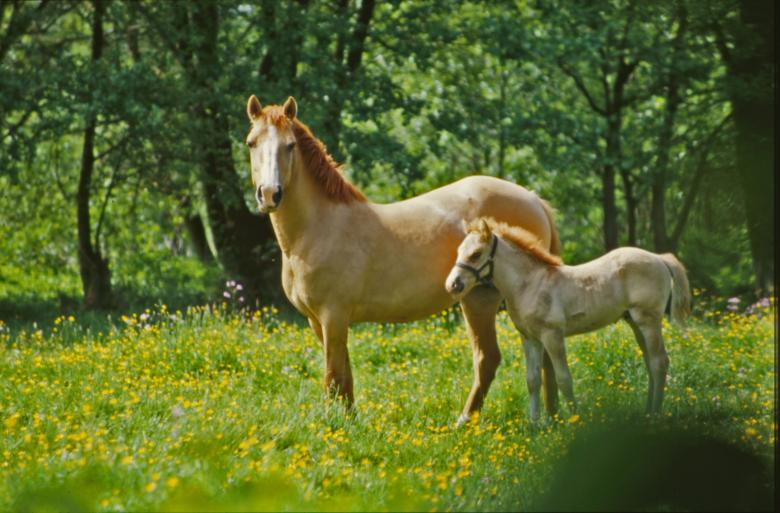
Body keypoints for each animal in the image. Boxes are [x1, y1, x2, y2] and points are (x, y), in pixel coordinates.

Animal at [245, 94, 562, 423]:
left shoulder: (333, 317)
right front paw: (350, 423)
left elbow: (332, 377)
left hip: (481, 301)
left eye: (290, 145)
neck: (319, 228)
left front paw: (333, 425)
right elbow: (345, 377)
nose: (269, 194)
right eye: (251, 143)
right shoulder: (317, 321)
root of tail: (533, 199)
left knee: (492, 359)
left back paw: (466, 421)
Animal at [445, 218, 690, 420]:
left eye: (476, 254)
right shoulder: (530, 338)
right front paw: (534, 425)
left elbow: (563, 378)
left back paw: (655, 413)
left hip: (648, 320)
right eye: (457, 251)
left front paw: (574, 421)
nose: (452, 285)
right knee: (650, 362)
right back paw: (648, 411)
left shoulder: (552, 335)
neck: (530, 284)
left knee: (659, 362)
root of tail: (659, 258)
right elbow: (532, 380)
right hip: (635, 322)